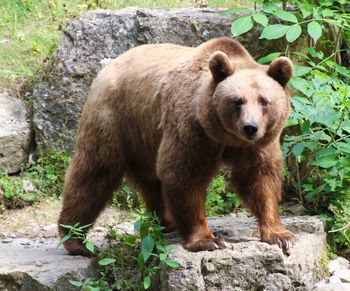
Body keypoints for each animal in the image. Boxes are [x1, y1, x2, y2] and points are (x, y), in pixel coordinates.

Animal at [58, 36, 294, 256]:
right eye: (237, 101)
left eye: (264, 101)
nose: (250, 127)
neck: (225, 137)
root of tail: (108, 66)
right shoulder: (191, 129)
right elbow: (184, 175)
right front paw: (208, 240)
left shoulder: (259, 144)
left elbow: (260, 177)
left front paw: (280, 235)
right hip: (114, 117)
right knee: (94, 173)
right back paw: (75, 238)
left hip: (145, 137)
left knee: (150, 180)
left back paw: (166, 221)